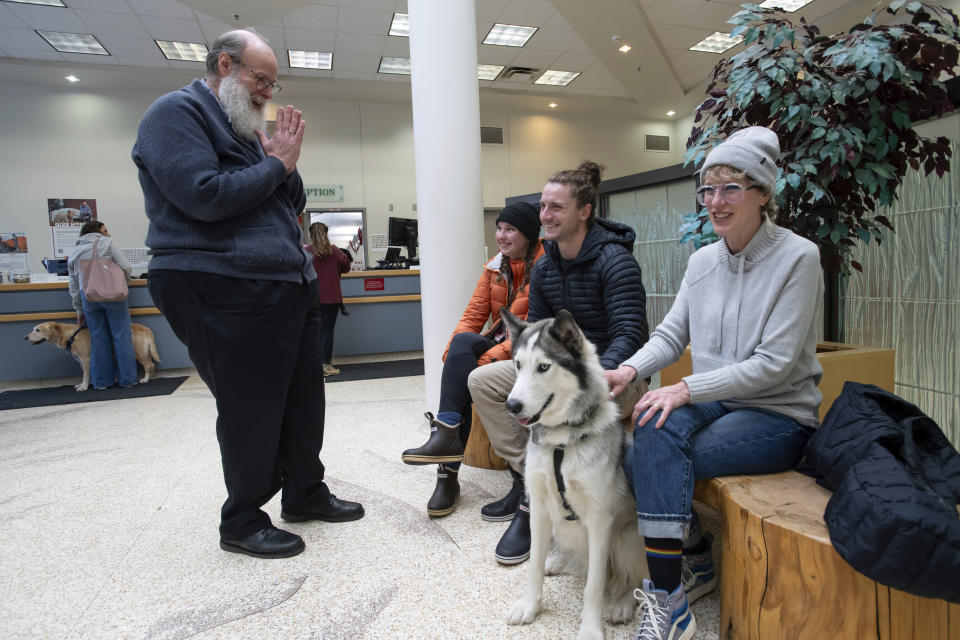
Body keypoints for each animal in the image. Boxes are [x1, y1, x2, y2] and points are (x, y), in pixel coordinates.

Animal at [24, 320, 161, 390]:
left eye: (37, 330)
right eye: (33, 329)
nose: (25, 337)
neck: (70, 336)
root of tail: (146, 328)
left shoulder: (86, 359)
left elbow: (86, 375)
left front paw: (84, 387)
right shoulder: (80, 361)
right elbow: (85, 374)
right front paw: (82, 384)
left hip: (139, 352)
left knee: (148, 365)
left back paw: (145, 379)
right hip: (145, 352)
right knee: (152, 364)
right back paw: (151, 377)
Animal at [502, 308, 644, 636]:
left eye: (544, 367)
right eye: (518, 365)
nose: (512, 405)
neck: (561, 444)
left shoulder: (600, 520)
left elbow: (594, 585)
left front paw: (591, 629)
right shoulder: (539, 509)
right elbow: (533, 566)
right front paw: (530, 606)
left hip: (628, 538)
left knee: (637, 578)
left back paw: (622, 604)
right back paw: (558, 562)